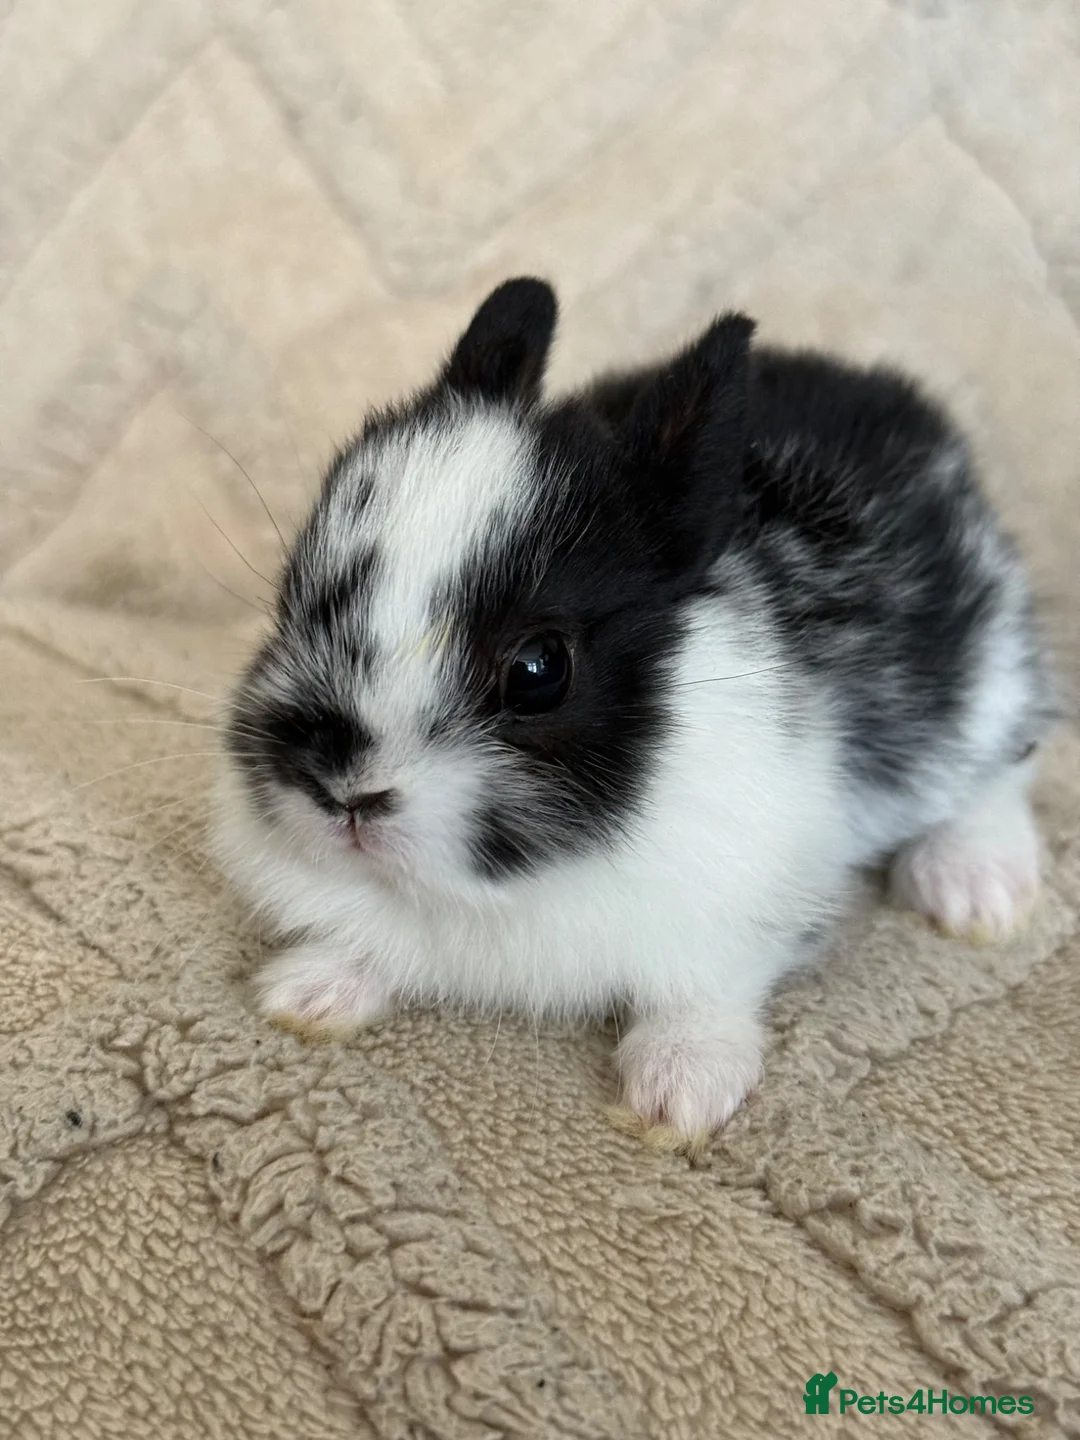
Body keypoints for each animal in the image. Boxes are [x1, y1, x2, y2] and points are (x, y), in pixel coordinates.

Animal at [212, 277, 1054, 1143]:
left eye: (539, 670)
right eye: (292, 597)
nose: (340, 791)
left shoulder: (745, 899)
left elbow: (705, 987)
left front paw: (679, 1090)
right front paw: (309, 990)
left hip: (979, 680)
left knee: (1001, 768)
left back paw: (973, 888)